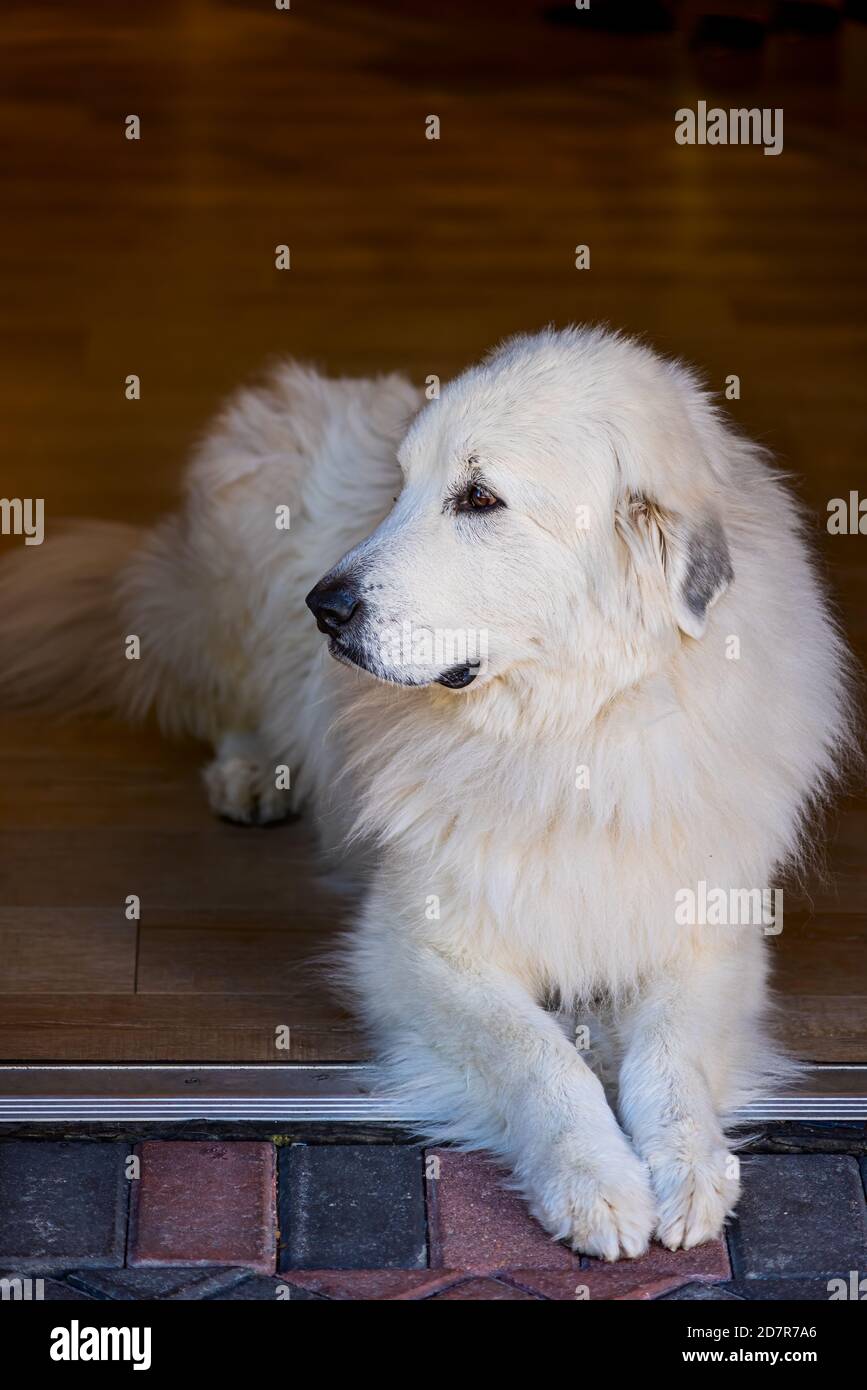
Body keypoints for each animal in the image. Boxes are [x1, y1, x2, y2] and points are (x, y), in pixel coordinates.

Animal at [1, 325, 855, 1262]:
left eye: (479, 498)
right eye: (400, 488)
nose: (324, 606)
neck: (571, 734)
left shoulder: (708, 934)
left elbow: (670, 1054)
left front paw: (692, 1165)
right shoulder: (418, 949)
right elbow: (541, 1056)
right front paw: (594, 1178)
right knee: (229, 695)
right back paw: (255, 770)